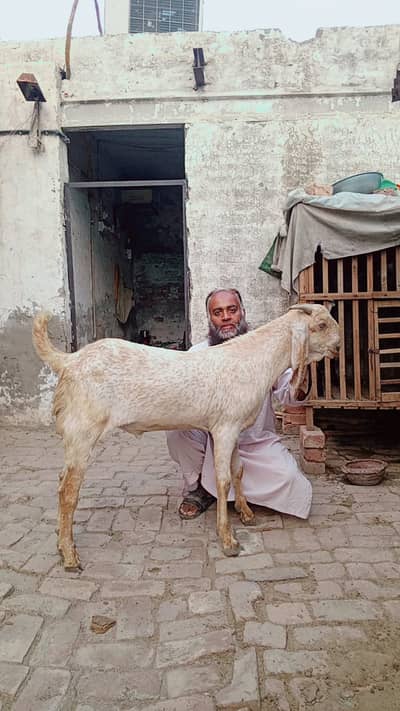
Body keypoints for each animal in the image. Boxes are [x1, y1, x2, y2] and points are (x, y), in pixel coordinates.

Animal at [32, 303, 340, 570]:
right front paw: (228, 540)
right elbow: (223, 480)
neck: (254, 359)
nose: (338, 347)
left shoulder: (233, 429)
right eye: (321, 325)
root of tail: (69, 360)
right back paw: (70, 555)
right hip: (82, 430)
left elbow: (238, 470)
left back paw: (61, 543)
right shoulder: (225, 428)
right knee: (68, 490)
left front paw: (247, 514)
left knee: (61, 482)